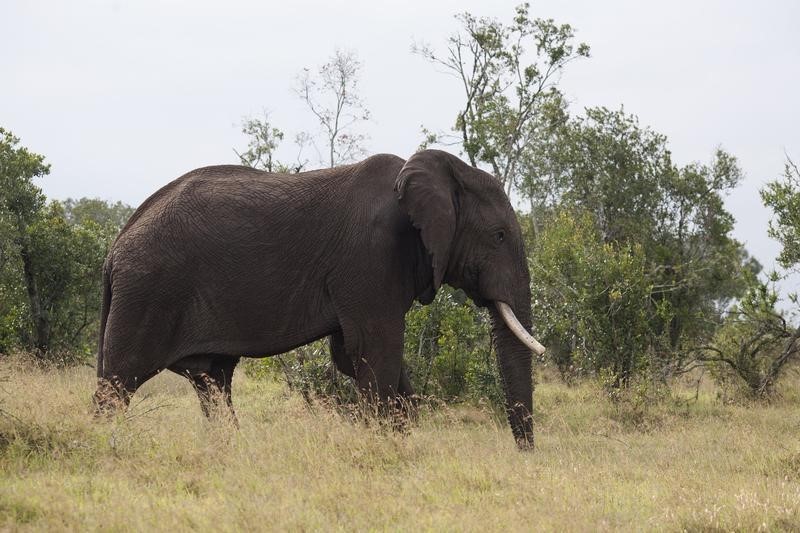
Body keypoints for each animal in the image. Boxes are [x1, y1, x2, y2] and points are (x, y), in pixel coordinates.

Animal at [92, 150, 544, 448]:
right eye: (499, 236)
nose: (523, 454)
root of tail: (114, 248)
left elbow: (353, 356)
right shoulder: (371, 257)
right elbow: (374, 352)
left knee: (212, 383)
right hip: (149, 293)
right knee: (118, 383)